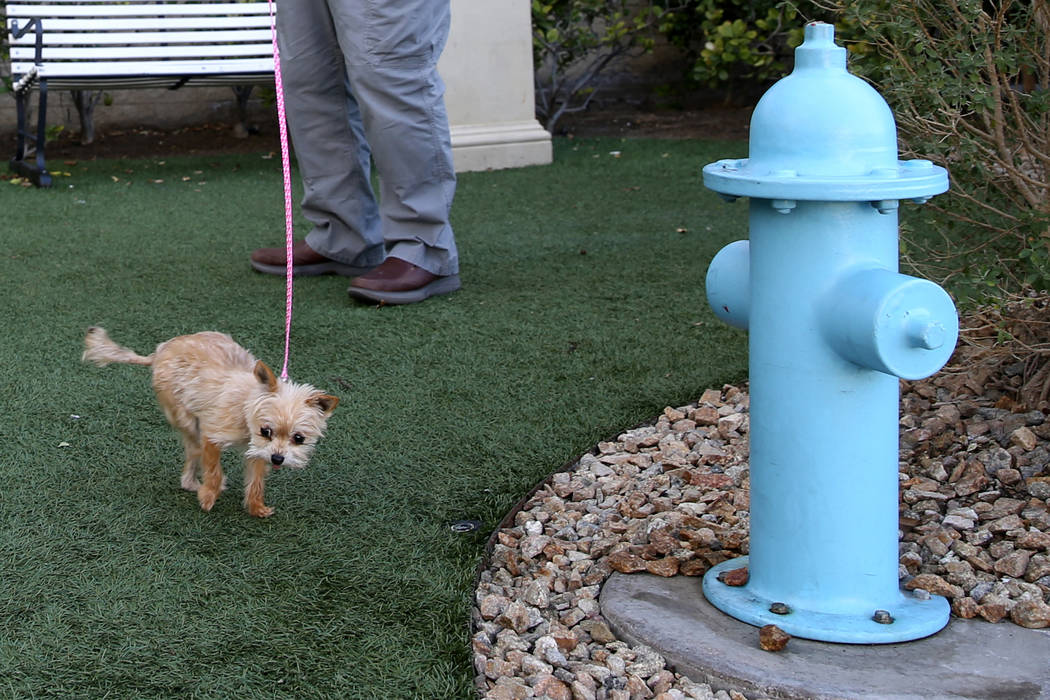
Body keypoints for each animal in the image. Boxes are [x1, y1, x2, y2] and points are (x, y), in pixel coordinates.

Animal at [87, 325, 340, 518]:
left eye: (298, 438)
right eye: (265, 430)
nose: (278, 459)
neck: (245, 406)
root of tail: (159, 352)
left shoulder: (258, 451)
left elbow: (256, 480)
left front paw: (256, 507)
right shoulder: (212, 435)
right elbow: (213, 470)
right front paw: (208, 496)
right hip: (186, 418)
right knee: (194, 451)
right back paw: (191, 483)